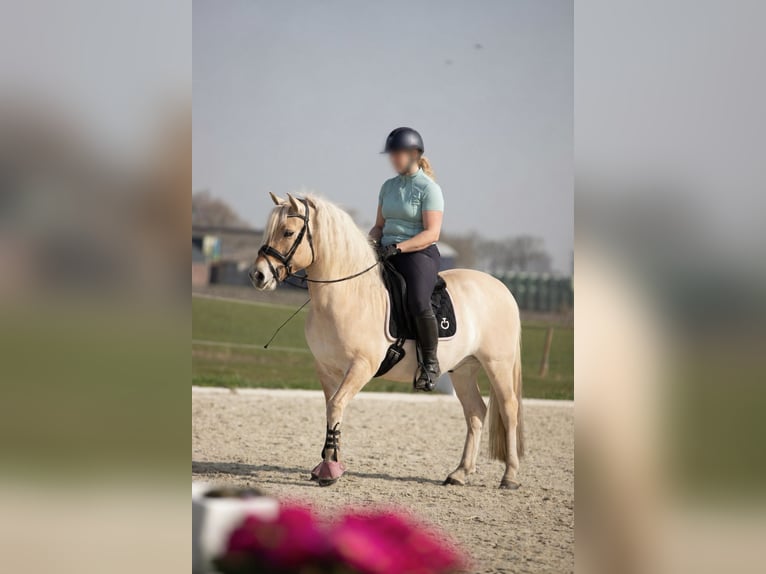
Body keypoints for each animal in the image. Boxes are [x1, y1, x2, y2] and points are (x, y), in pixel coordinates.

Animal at [251, 192, 524, 489]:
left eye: (288, 232)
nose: (258, 275)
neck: (348, 294)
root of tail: (501, 288)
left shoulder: (362, 367)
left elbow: (336, 405)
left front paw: (330, 470)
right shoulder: (326, 369)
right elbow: (333, 409)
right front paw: (329, 463)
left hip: (497, 364)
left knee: (509, 409)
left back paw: (510, 476)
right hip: (463, 369)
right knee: (475, 412)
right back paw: (459, 473)